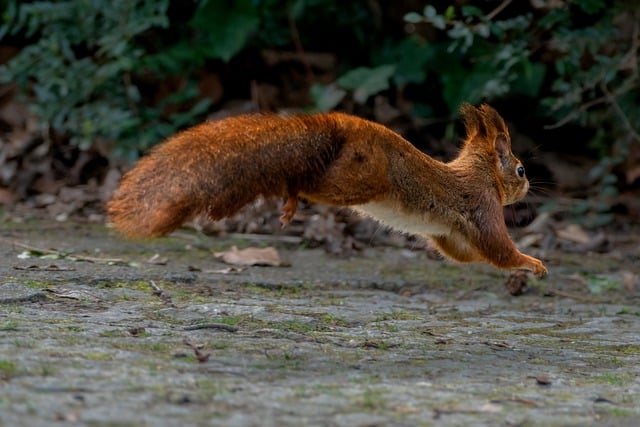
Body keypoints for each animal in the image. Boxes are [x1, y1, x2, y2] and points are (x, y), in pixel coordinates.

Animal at [107, 103, 548, 278]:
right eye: (521, 169)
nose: (529, 186)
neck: (479, 172)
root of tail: (339, 125)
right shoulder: (484, 205)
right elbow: (498, 249)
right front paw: (531, 263)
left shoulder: (448, 232)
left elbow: (465, 253)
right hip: (359, 179)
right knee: (310, 183)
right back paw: (291, 198)